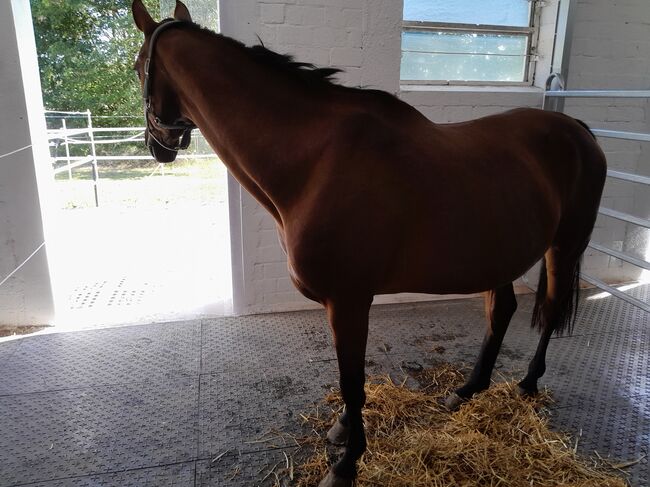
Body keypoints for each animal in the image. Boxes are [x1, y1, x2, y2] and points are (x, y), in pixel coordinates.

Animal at [129, 1, 604, 486]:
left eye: (137, 67)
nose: (156, 146)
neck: (315, 162)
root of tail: (576, 129)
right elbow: (349, 382)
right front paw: (343, 431)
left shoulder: (349, 301)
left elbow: (352, 382)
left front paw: (346, 463)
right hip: (497, 256)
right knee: (502, 312)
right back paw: (467, 390)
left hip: (564, 246)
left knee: (550, 309)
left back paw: (527, 383)